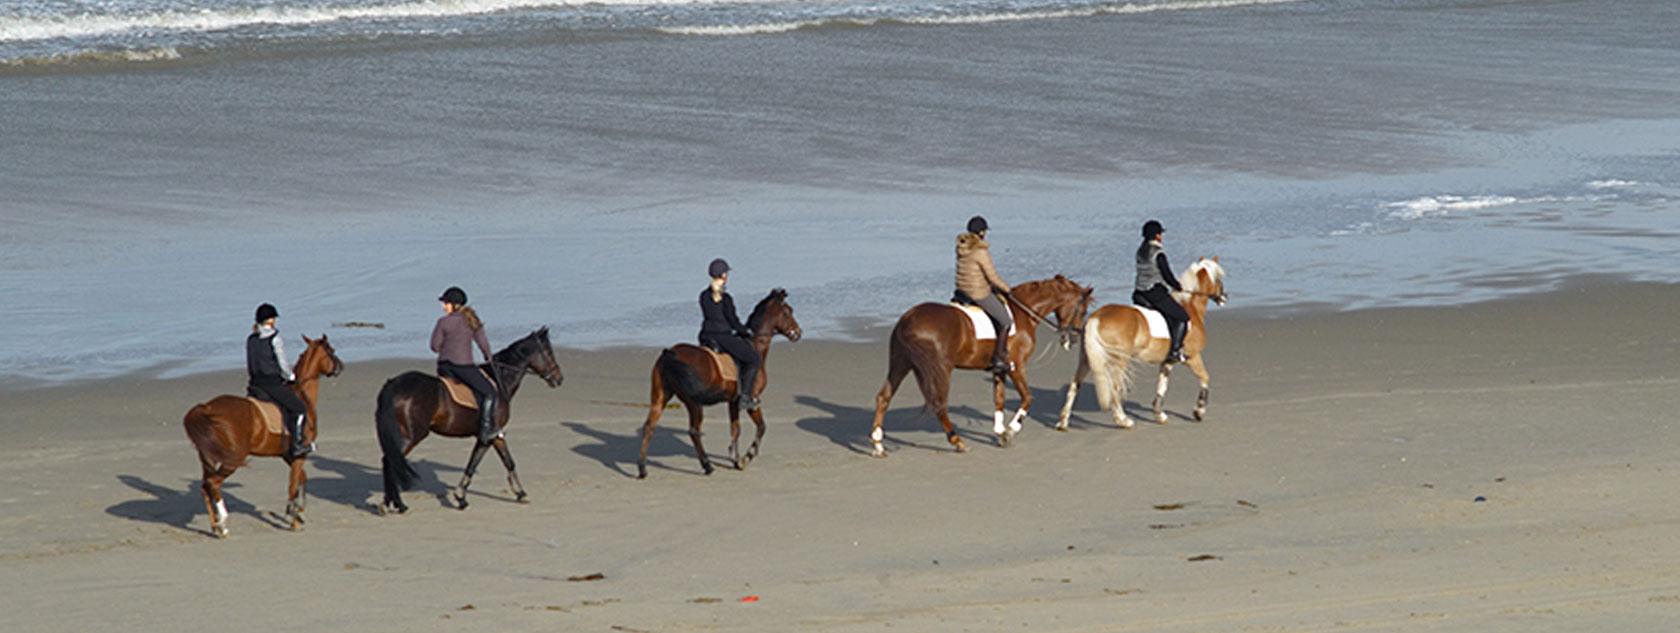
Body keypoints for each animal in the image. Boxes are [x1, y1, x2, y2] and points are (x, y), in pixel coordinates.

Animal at [182, 332, 342, 533]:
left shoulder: (288, 455)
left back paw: (217, 527)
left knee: (205, 486)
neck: (301, 394)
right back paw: (223, 522)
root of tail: (207, 407)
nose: (341, 366)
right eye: (331, 350)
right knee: (213, 483)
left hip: (209, 459)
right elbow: (293, 485)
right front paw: (293, 516)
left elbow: (302, 480)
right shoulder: (299, 454)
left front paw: (298, 514)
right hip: (232, 459)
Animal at [374, 325, 564, 513]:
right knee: (390, 461)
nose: (559, 378)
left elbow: (505, 462)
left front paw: (520, 493)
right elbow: (477, 463)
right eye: (548, 352)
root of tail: (393, 384)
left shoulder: (495, 435)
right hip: (412, 436)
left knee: (389, 460)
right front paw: (461, 497)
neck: (499, 380)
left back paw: (388, 503)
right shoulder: (490, 436)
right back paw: (398, 504)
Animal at [638, 288, 803, 476]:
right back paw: (707, 465)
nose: (798, 332)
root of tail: (669, 353)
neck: (753, 345)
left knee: (649, 426)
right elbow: (761, 427)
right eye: (787, 312)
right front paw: (746, 458)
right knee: (694, 431)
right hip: (694, 403)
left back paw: (642, 468)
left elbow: (736, 429)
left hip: (660, 397)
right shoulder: (751, 399)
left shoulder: (733, 401)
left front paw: (735, 458)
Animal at [873, 273, 1095, 456]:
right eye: (1083, 310)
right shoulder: (1017, 366)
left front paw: (1000, 432)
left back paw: (878, 445)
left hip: (901, 364)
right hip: (941, 369)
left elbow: (999, 398)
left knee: (884, 397)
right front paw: (1011, 430)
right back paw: (957, 441)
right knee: (939, 404)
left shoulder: (1000, 368)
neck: (1021, 313)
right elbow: (1027, 398)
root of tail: (908, 320)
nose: (1074, 337)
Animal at [1055, 256, 1229, 429]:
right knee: (1114, 389)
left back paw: (1063, 422)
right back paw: (1123, 420)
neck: (1189, 306)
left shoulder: (1167, 362)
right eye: (1219, 278)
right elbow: (1205, 378)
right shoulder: (1192, 357)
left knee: (1074, 386)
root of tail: (1095, 317)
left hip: (1086, 359)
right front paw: (1199, 412)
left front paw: (1160, 415)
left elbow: (1161, 387)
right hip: (1120, 361)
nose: (1224, 297)